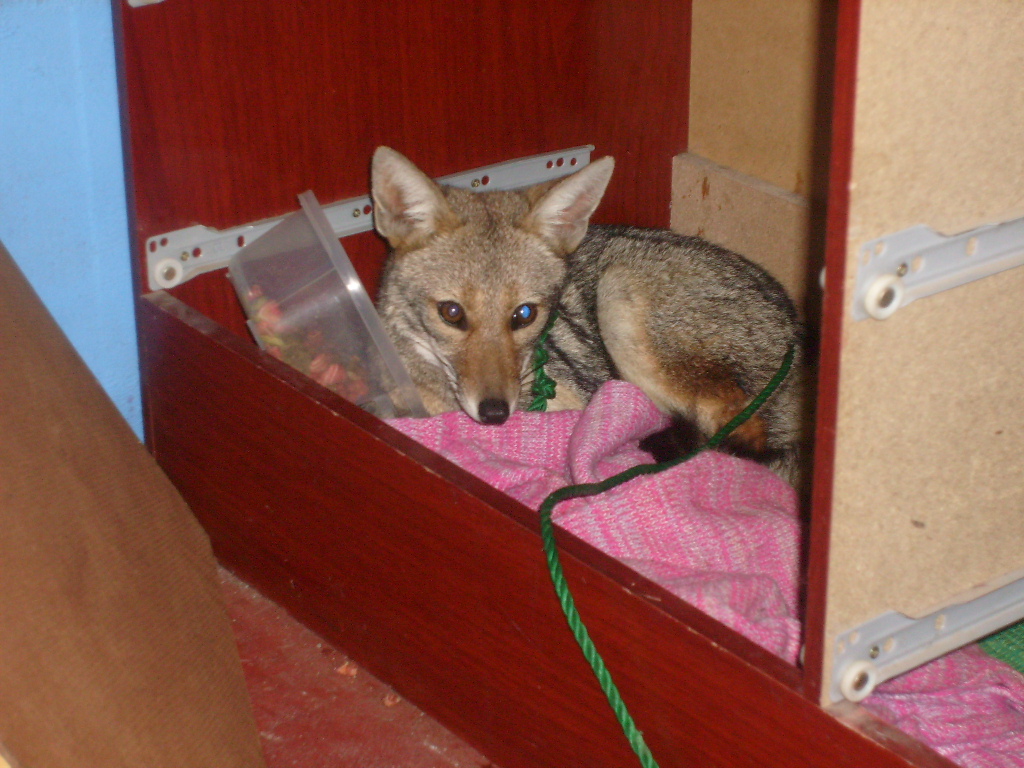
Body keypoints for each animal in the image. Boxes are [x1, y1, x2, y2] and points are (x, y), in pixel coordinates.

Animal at [371, 146, 807, 484]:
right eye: (452, 313)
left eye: (524, 315)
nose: (495, 414)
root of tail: (797, 326)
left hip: (618, 294)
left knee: (736, 436)